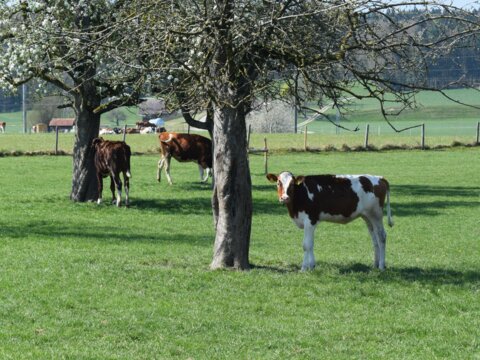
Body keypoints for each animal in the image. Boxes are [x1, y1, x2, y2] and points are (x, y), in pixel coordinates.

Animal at [266, 172, 394, 270]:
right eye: (278, 182)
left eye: (292, 184)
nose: (285, 198)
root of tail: (379, 177)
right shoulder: (312, 222)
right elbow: (311, 244)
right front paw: (312, 266)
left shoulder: (310, 220)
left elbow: (306, 245)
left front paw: (304, 268)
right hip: (367, 217)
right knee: (375, 239)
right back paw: (375, 264)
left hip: (376, 215)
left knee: (382, 236)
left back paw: (381, 266)